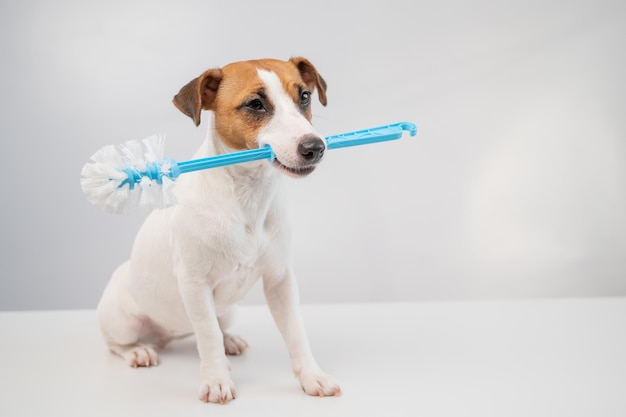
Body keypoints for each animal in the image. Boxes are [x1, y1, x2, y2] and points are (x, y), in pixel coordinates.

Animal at [96, 57, 342, 402]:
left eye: (304, 96)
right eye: (255, 104)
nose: (315, 147)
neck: (247, 195)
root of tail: (169, 336)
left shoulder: (280, 280)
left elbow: (295, 332)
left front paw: (312, 376)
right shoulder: (195, 284)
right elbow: (208, 335)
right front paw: (215, 381)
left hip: (228, 310)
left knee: (217, 325)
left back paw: (230, 341)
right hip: (123, 320)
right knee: (117, 343)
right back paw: (137, 351)